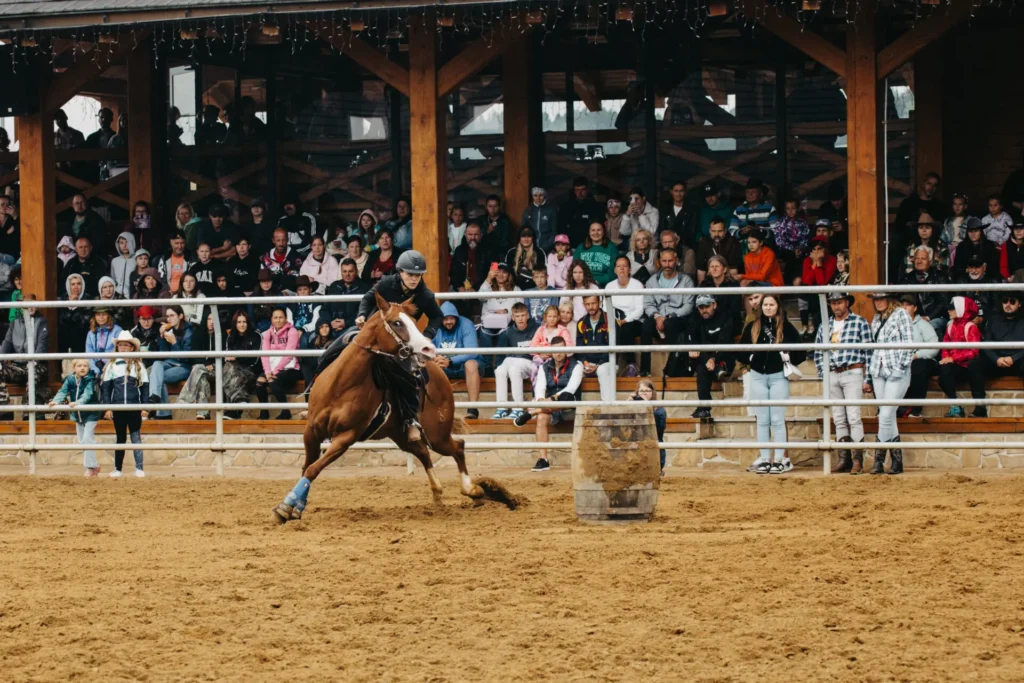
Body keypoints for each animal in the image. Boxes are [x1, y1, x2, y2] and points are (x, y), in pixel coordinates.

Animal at [270, 292, 481, 524]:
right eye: (397, 323)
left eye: (413, 321)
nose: (428, 349)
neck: (341, 385)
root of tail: (441, 375)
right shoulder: (312, 431)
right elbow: (306, 466)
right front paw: (296, 507)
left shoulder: (346, 437)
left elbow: (313, 469)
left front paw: (286, 506)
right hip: (401, 435)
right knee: (424, 453)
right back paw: (438, 492)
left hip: (437, 434)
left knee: (458, 447)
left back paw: (472, 490)